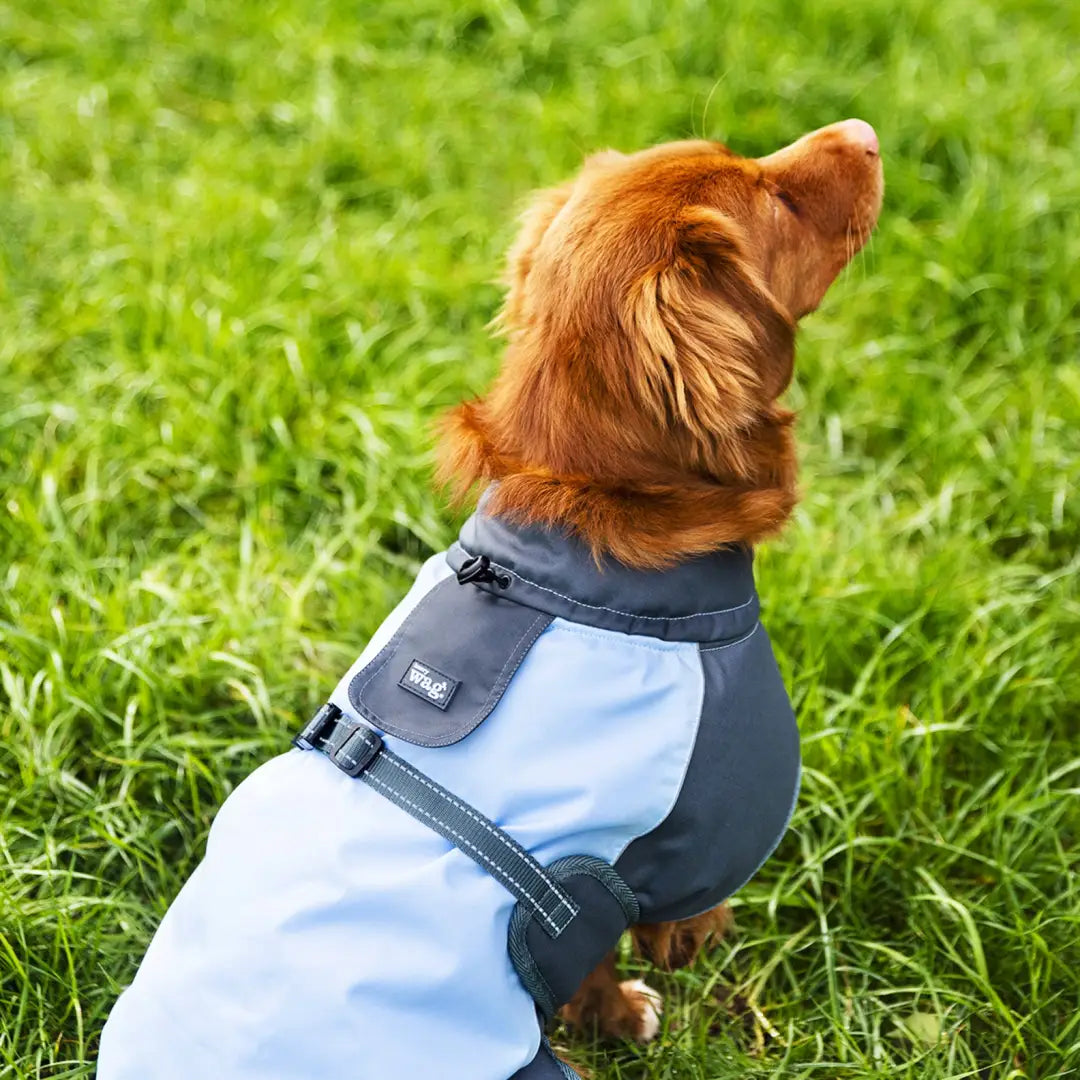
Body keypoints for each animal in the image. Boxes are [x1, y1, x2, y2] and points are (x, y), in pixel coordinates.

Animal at [440, 122, 885, 1041]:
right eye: (775, 200)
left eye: (745, 156)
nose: (862, 133)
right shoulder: (715, 809)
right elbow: (636, 928)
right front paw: (651, 987)